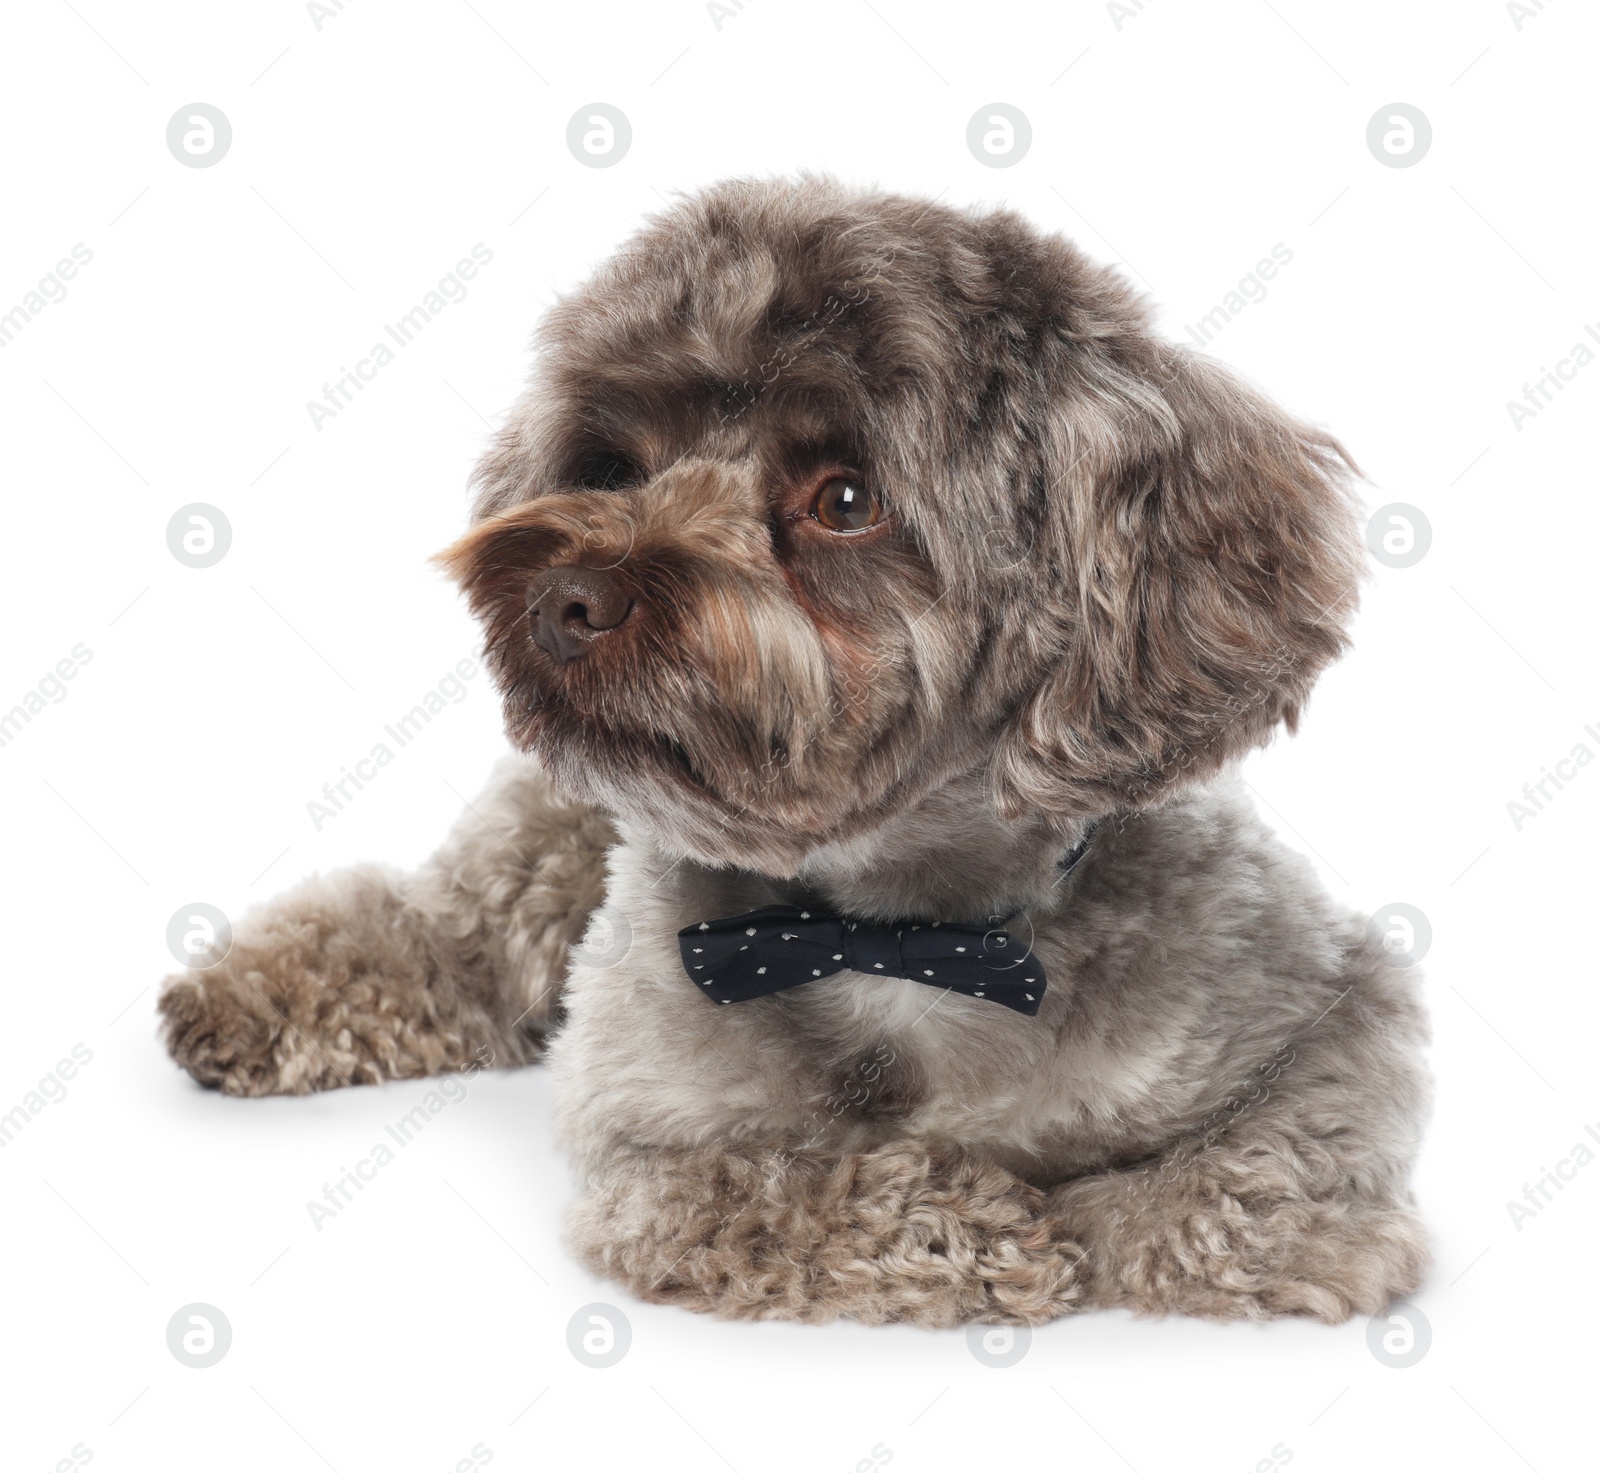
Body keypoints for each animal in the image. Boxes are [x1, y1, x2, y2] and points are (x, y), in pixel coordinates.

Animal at [165, 178, 1440, 1330]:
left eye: (845, 499)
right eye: (614, 466)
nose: (566, 596)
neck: (895, 934)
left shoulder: (1333, 1007)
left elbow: (1255, 1177)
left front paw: (1159, 1222)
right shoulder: (646, 1146)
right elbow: (787, 1185)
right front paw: (985, 1230)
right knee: (445, 934)